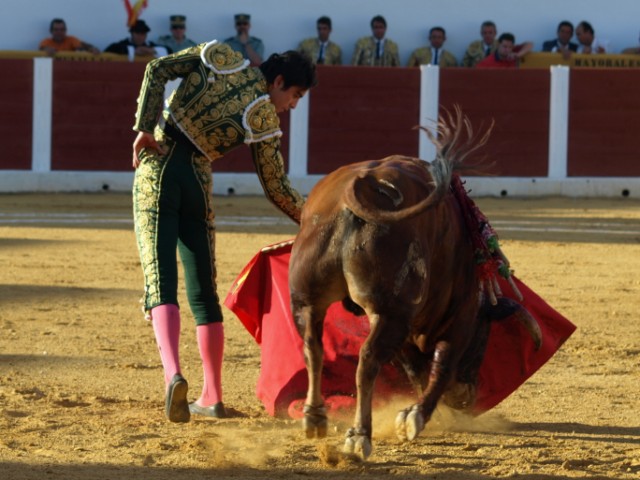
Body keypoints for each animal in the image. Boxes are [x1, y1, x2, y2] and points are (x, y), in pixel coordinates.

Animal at [290, 110, 540, 460]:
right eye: (484, 337)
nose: (466, 398)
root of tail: (357, 187)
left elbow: (415, 368)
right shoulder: (459, 315)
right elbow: (441, 364)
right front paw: (416, 416)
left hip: (308, 299)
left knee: (313, 347)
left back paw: (315, 418)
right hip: (391, 310)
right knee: (368, 360)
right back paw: (360, 435)